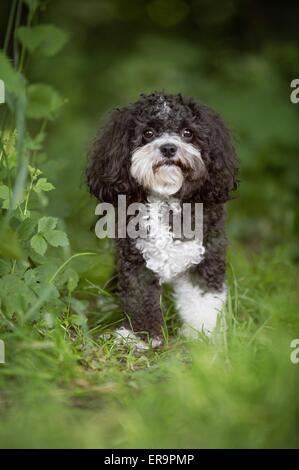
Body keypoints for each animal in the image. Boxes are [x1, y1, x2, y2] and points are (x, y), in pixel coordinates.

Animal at [87, 92, 239, 348]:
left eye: (188, 132)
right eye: (148, 133)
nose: (168, 148)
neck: (167, 201)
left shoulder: (205, 258)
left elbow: (202, 302)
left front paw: (204, 337)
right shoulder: (136, 261)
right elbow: (139, 300)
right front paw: (141, 338)